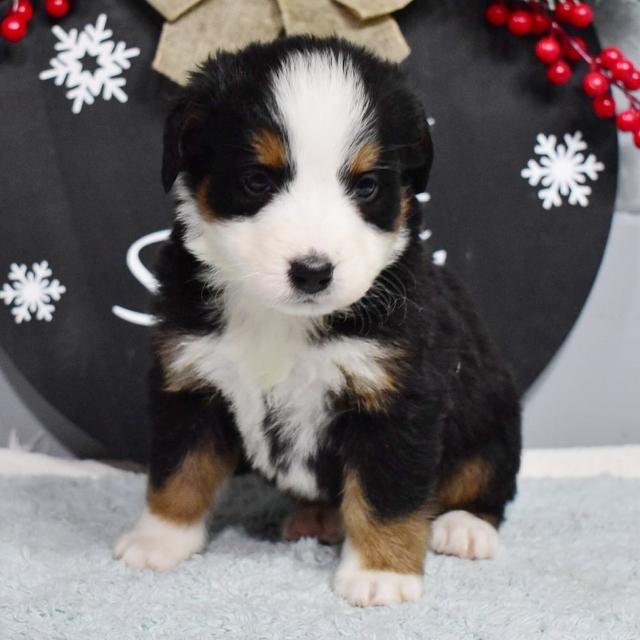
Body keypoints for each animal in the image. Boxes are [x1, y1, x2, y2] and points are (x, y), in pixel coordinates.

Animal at [116, 35, 520, 604]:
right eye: (256, 180)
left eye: (367, 186)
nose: (312, 271)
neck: (279, 322)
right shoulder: (191, 378)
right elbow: (179, 470)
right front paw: (159, 540)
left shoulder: (396, 397)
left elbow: (387, 494)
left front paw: (380, 573)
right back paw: (318, 519)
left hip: (491, 419)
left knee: (485, 482)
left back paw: (464, 528)